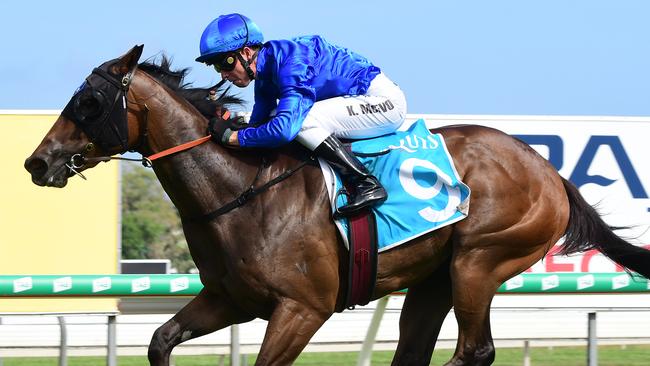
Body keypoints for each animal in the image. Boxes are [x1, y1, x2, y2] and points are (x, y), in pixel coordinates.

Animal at [24, 45, 648, 364]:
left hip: (479, 261)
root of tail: (549, 171)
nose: (36, 162)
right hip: (433, 280)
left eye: (89, 101)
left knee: (475, 351)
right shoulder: (228, 300)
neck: (239, 193)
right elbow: (159, 341)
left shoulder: (302, 309)